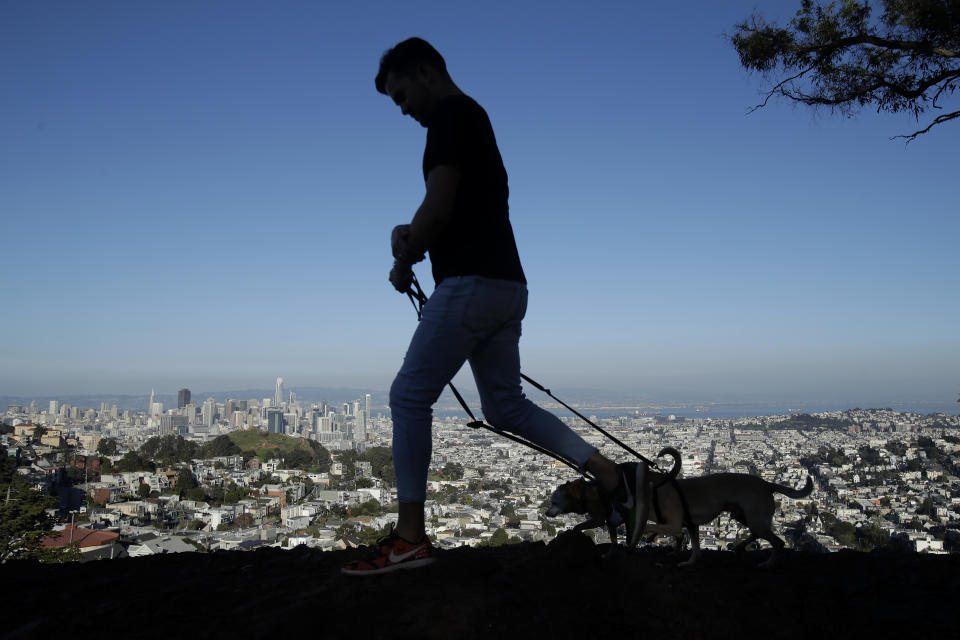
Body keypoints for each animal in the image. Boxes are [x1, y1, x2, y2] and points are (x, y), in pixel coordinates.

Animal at [632, 470, 812, 568]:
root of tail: (767, 484)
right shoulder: (691, 526)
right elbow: (695, 549)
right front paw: (689, 562)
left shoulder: (675, 524)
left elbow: (653, 527)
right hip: (743, 516)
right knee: (757, 533)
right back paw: (740, 546)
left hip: (755, 520)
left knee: (778, 542)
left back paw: (767, 564)